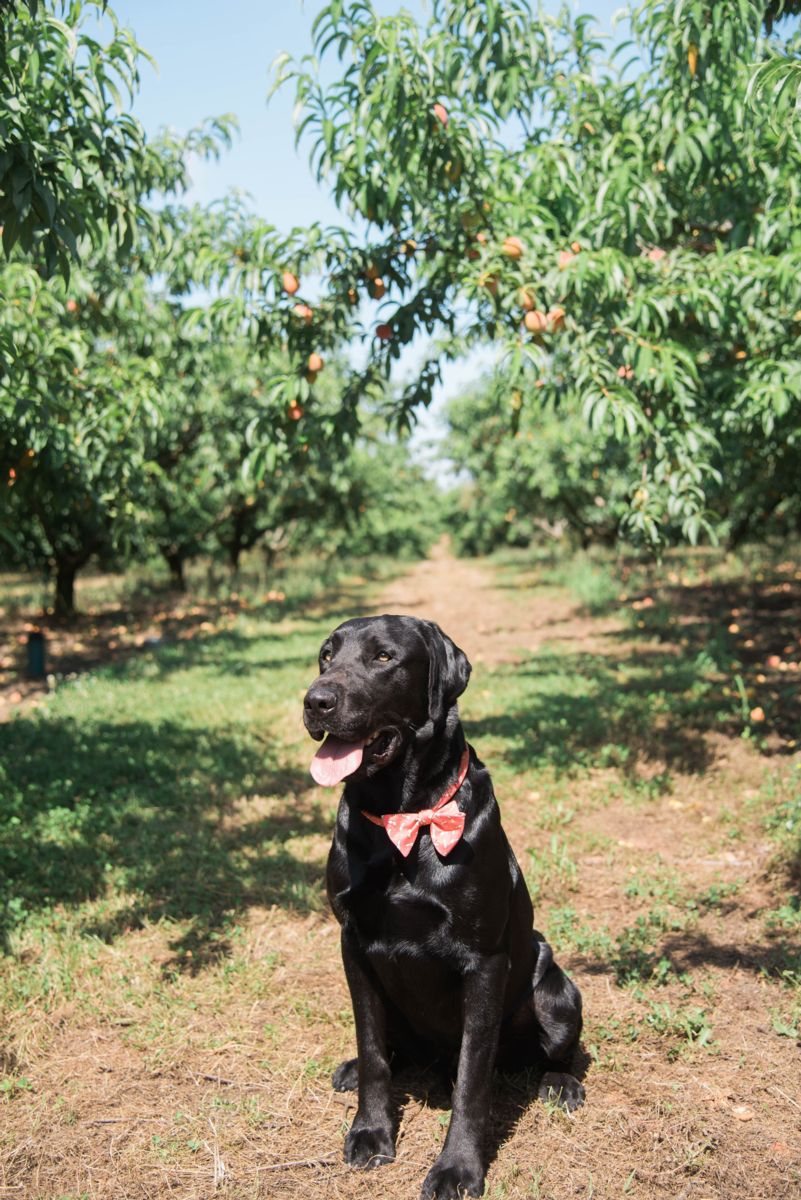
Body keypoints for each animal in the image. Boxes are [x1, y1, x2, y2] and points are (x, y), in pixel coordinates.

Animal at [303, 619, 585, 1200]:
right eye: (325, 656)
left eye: (383, 657)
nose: (315, 700)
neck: (404, 818)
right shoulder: (354, 945)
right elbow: (372, 1050)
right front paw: (371, 1132)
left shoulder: (484, 961)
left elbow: (472, 1081)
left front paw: (458, 1168)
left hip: (558, 990)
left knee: (553, 1050)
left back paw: (561, 1083)